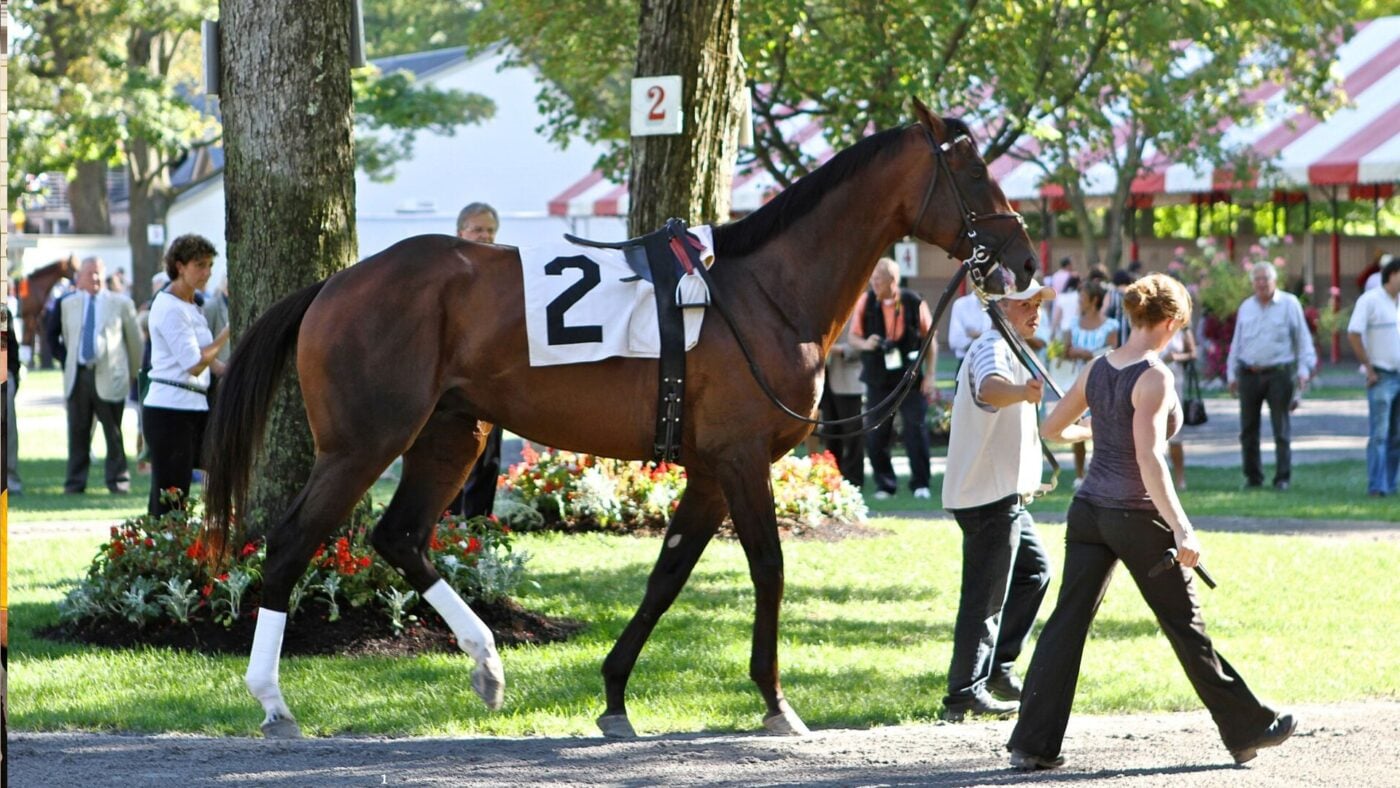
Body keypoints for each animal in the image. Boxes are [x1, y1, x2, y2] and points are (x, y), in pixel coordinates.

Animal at [203, 98, 1039, 739]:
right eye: (972, 168)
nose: (1025, 259)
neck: (762, 292)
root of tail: (335, 283)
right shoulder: (740, 458)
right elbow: (768, 567)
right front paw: (775, 701)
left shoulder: (708, 468)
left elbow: (667, 574)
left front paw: (612, 694)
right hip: (364, 441)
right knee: (292, 541)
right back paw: (273, 701)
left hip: (452, 433)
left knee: (398, 535)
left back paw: (487, 663)